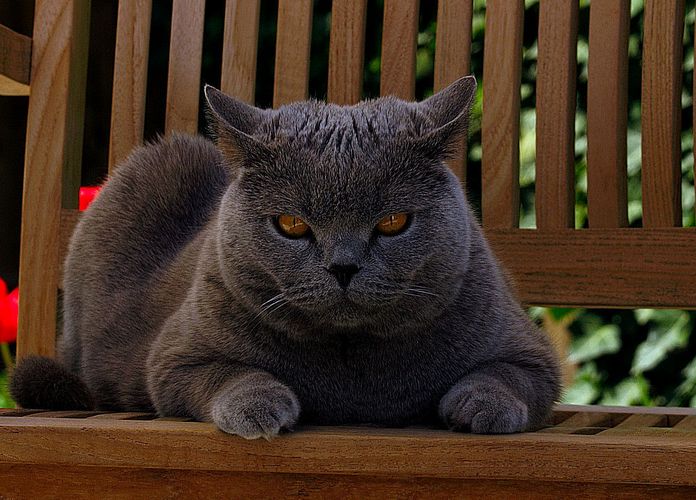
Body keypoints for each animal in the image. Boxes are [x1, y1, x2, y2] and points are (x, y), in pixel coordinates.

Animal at [12, 77, 560, 438]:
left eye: (393, 222)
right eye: (292, 225)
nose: (343, 266)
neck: (351, 367)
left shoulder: (529, 351)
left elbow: (509, 374)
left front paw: (479, 406)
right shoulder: (173, 357)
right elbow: (226, 372)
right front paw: (259, 406)